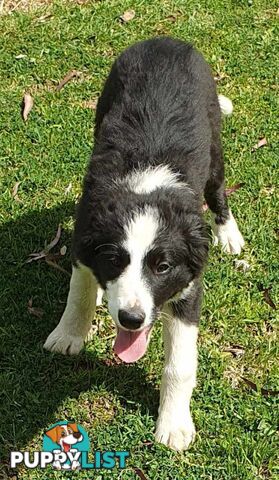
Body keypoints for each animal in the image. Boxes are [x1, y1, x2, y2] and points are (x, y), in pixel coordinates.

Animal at [44, 36, 245, 450]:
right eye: (114, 261)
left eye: (162, 267)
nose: (131, 320)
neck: (145, 186)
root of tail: (167, 39)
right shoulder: (85, 235)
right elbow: (79, 293)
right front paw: (68, 334)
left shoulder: (189, 284)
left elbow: (180, 364)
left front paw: (174, 425)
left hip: (214, 144)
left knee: (218, 190)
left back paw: (228, 232)